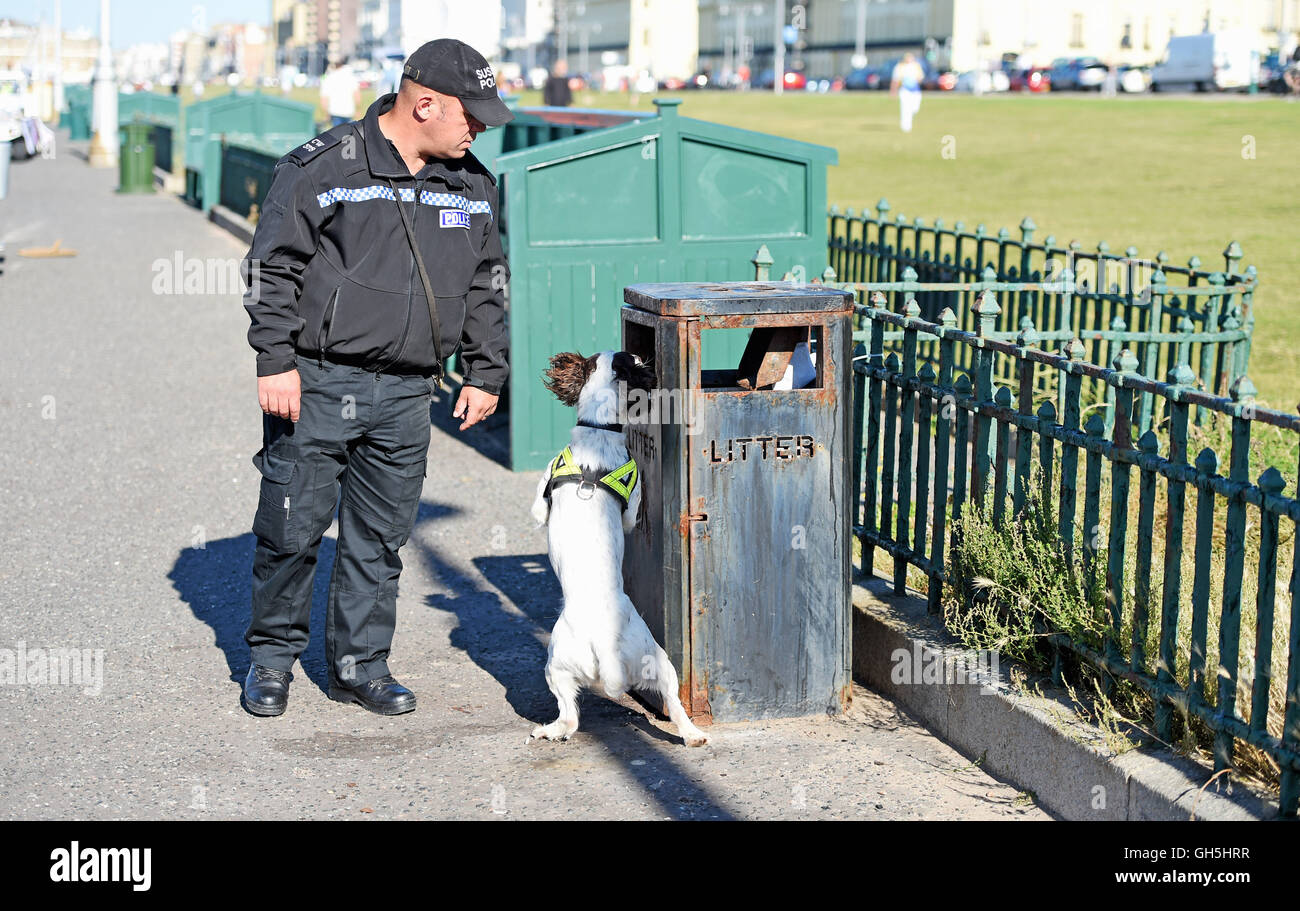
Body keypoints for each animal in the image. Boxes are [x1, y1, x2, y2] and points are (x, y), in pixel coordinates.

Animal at [527, 350, 712, 748]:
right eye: (636, 360)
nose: (646, 358)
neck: (598, 428)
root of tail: (603, 646)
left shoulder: (540, 501)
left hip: (560, 663)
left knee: (571, 717)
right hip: (650, 660)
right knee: (673, 704)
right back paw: (693, 735)